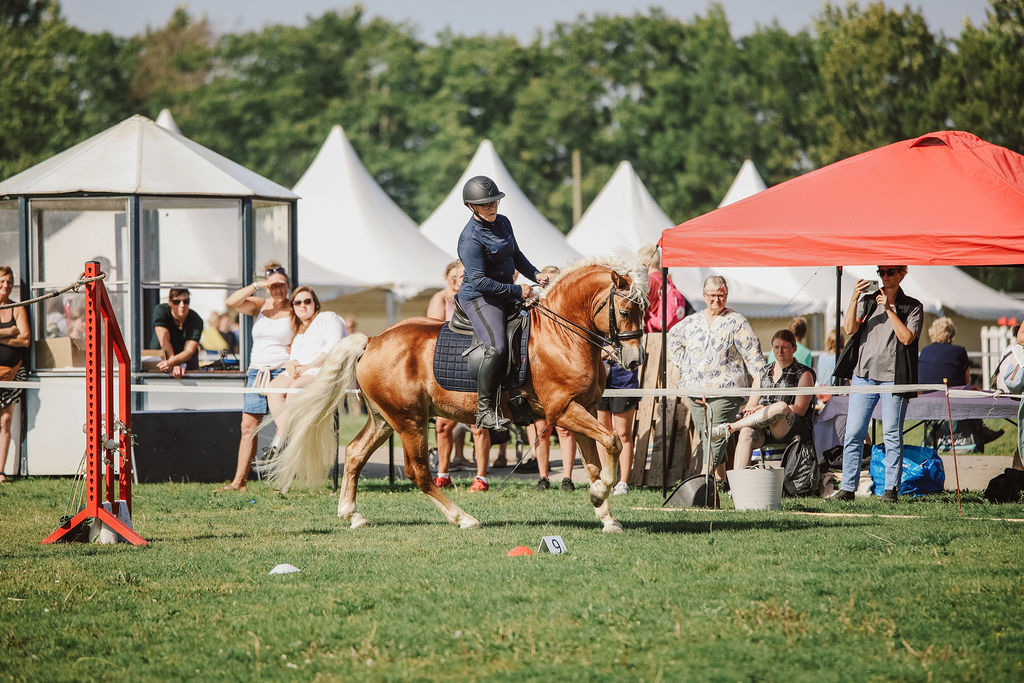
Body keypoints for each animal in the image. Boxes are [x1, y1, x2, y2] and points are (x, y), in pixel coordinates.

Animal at [267, 257, 647, 533]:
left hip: (385, 419)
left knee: (355, 454)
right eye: (625, 311)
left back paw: (353, 514)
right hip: (410, 421)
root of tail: (373, 340)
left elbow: (596, 460)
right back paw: (463, 518)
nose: (635, 360)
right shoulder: (564, 410)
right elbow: (613, 442)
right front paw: (599, 495)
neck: (562, 336)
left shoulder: (583, 409)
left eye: (645, 310)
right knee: (419, 472)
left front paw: (605, 515)